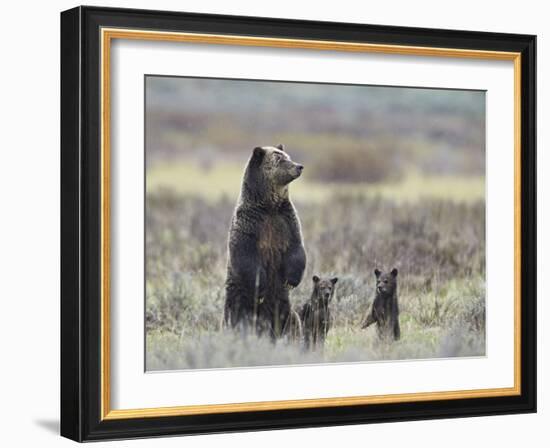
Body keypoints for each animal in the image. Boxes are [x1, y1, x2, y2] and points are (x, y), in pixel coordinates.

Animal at [225, 145, 310, 338]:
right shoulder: (250, 223)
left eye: (288, 156)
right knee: (236, 317)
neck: (269, 206)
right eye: (280, 159)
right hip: (238, 296)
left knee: (290, 320)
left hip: (283, 304)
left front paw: (292, 280)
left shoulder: (286, 221)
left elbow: (296, 248)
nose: (299, 166)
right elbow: (245, 254)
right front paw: (261, 286)